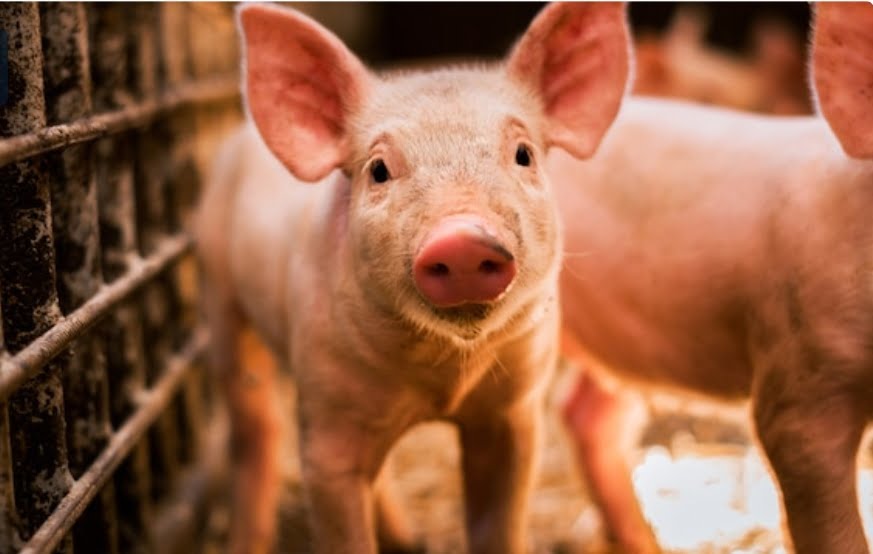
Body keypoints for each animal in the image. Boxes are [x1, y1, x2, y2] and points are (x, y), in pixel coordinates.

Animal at [195, 3, 631, 553]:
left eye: (524, 154)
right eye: (379, 169)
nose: (462, 238)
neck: (441, 381)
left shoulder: (515, 411)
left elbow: (499, 524)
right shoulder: (325, 428)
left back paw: (409, 538)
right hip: (218, 291)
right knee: (253, 425)